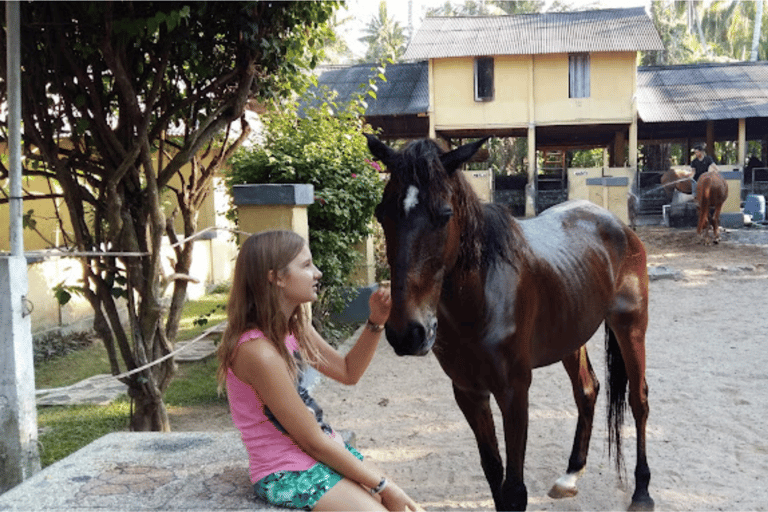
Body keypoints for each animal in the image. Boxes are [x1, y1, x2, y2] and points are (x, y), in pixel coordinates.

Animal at [366, 134, 656, 510]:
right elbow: (494, 473)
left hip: (630, 326)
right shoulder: (469, 393)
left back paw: (642, 490)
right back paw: (570, 474)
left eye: (444, 215)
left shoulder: (514, 392)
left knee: (639, 400)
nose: (407, 333)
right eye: (381, 213)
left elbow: (515, 489)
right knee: (587, 390)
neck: (480, 301)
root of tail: (617, 225)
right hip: (571, 336)